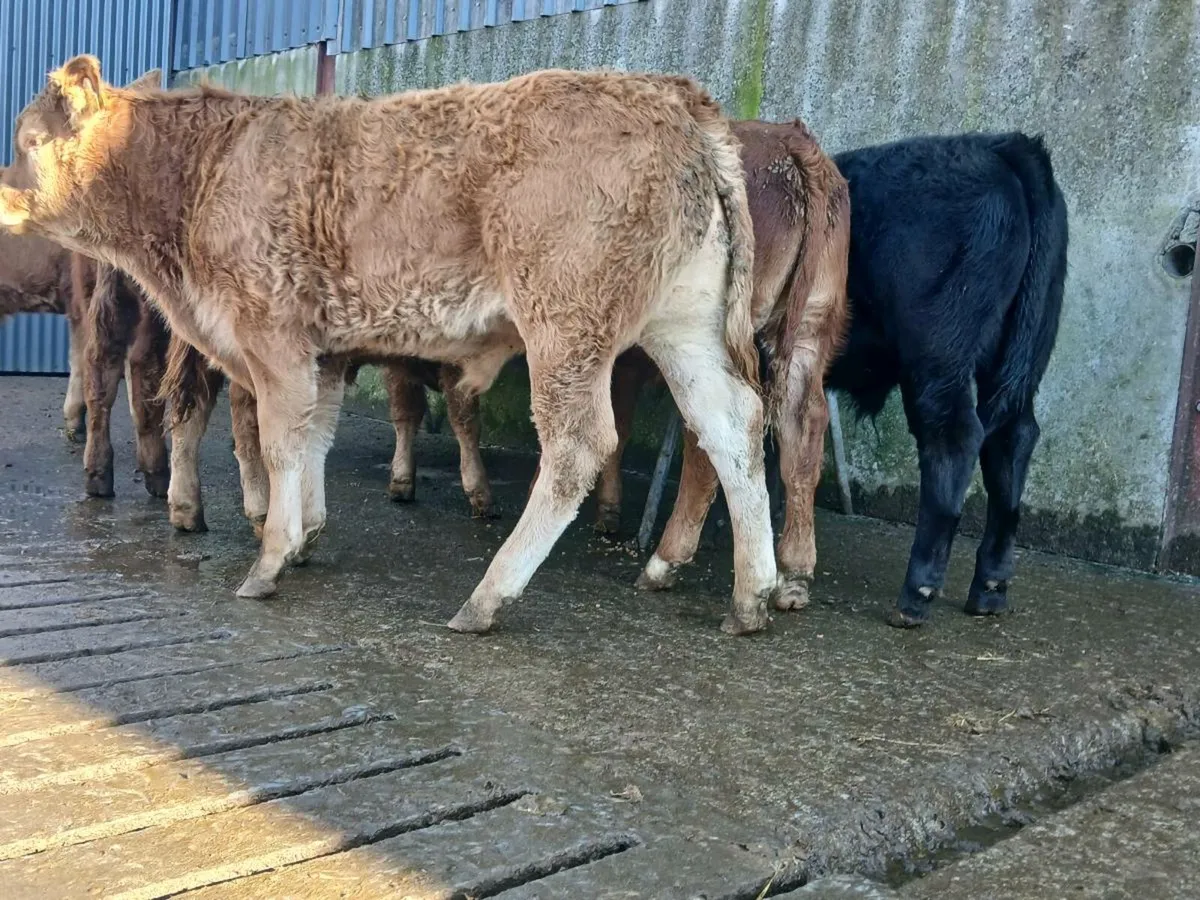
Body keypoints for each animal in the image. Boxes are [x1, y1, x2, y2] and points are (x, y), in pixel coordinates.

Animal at [2, 58, 778, 635]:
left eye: (30, 142)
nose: (4, 197)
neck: (201, 174)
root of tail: (671, 93)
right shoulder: (324, 351)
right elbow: (312, 438)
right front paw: (305, 535)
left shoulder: (272, 336)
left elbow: (281, 443)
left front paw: (268, 560)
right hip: (683, 326)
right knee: (732, 424)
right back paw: (752, 595)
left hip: (566, 325)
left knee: (578, 447)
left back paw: (488, 596)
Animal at [824, 132, 1067, 627]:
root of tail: (997, 147)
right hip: (1017, 361)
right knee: (1012, 443)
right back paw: (989, 588)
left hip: (937, 358)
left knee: (953, 441)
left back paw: (916, 595)